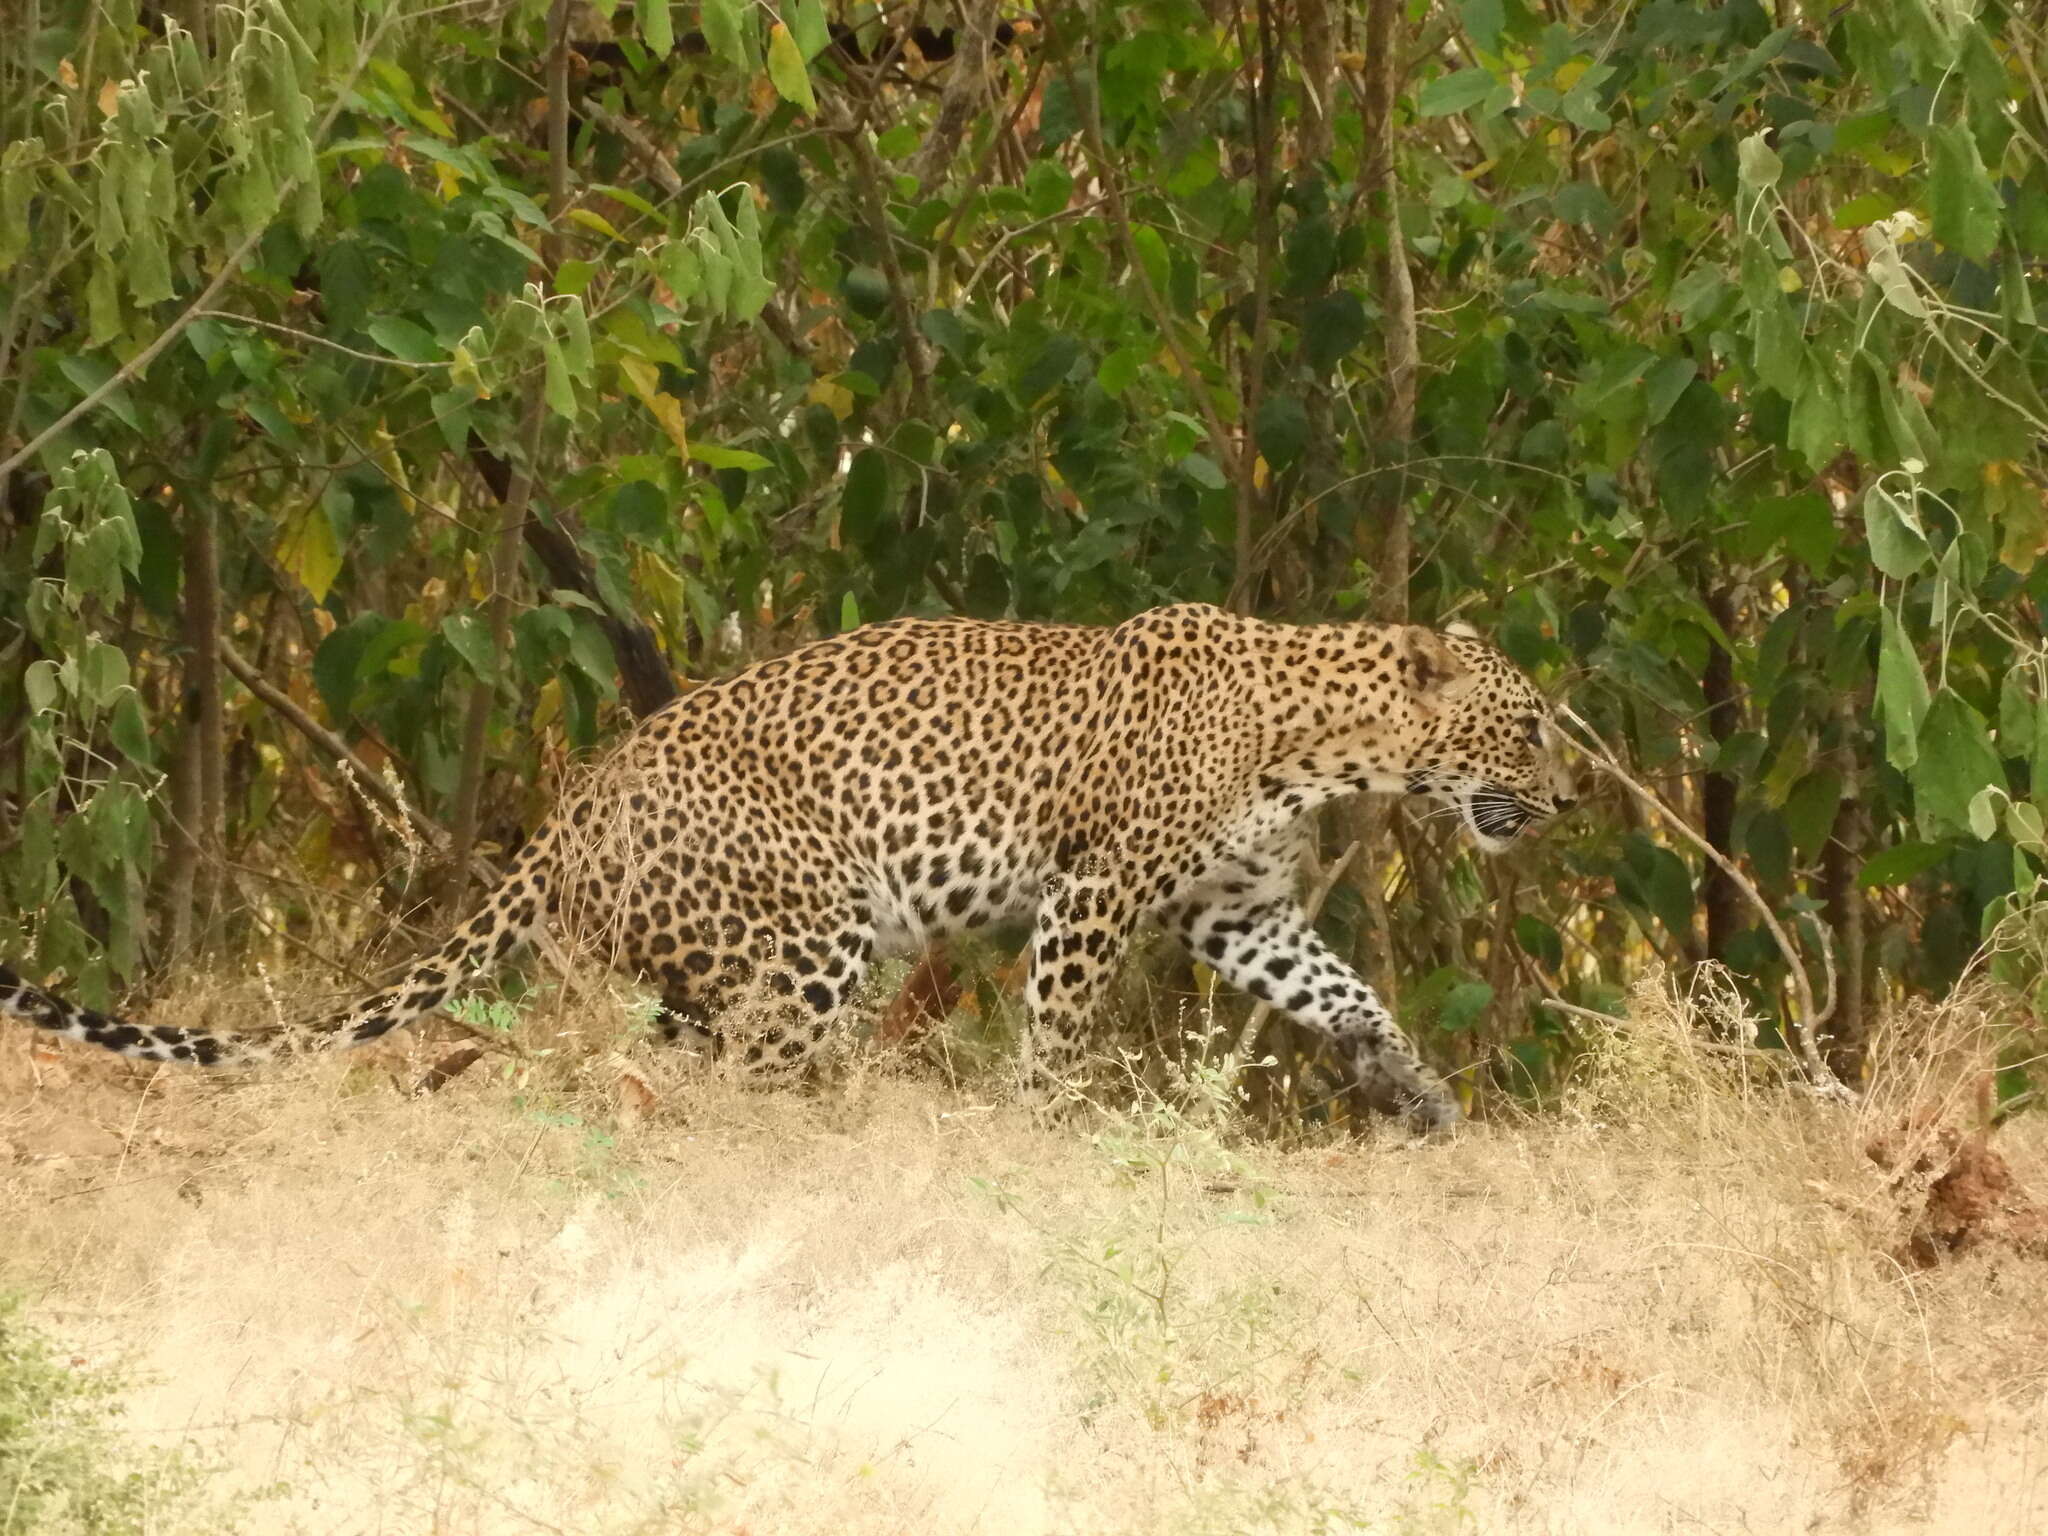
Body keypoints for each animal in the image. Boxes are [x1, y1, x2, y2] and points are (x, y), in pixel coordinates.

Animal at [0, 606, 1581, 1130]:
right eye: (1528, 724)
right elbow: (1057, 1030)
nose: (1572, 795)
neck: (1318, 740)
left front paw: (1413, 1093)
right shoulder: (1096, 896)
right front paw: (1047, 1136)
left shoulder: (1231, 911)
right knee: (741, 1077)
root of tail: (576, 799)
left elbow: (1343, 990)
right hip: (813, 930)